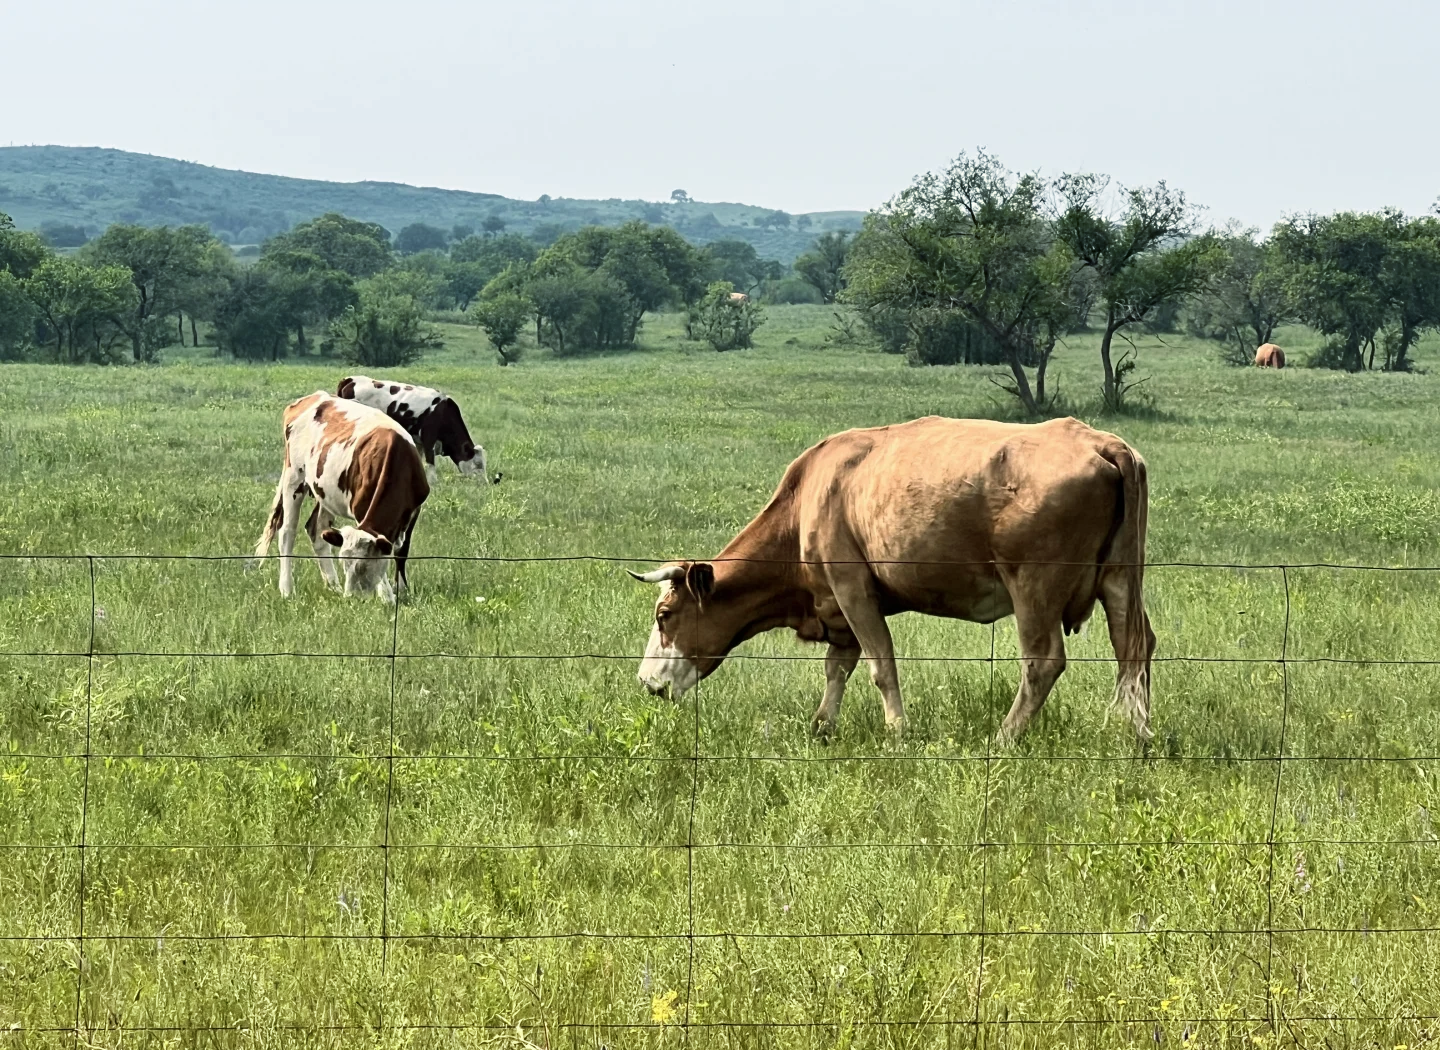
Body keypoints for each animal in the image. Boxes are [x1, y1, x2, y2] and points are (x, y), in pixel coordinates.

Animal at [256, 388, 429, 599]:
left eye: (363, 566)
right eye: (345, 564)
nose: (351, 598)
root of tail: (312, 398)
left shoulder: (414, 509)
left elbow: (401, 550)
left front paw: (400, 589)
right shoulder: (361, 509)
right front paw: (387, 596)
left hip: (324, 492)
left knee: (316, 529)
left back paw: (333, 585)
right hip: (294, 477)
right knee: (287, 532)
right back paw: (287, 590)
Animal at [338, 371, 501, 483]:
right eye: (478, 464)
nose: (484, 483)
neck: (443, 412)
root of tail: (349, 379)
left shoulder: (418, 441)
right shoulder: (429, 439)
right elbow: (430, 464)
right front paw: (433, 483)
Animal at [630, 414, 1157, 743]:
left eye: (664, 614)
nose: (646, 683)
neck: (808, 500)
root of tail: (1099, 442)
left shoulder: (853, 590)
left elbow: (880, 664)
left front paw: (898, 731)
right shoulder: (835, 608)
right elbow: (836, 668)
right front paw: (821, 727)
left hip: (1034, 587)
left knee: (1043, 662)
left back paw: (1005, 736)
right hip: (1120, 580)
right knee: (1135, 648)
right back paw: (1135, 733)